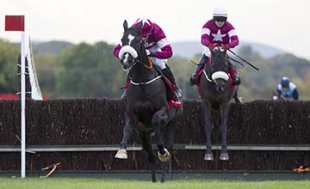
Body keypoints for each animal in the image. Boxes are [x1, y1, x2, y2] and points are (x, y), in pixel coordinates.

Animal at [114, 19, 182, 182]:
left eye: (139, 41)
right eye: (122, 40)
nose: (126, 60)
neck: (142, 81)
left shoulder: (162, 111)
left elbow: (156, 121)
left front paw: (162, 151)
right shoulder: (132, 115)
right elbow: (126, 129)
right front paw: (121, 151)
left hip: (171, 124)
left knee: (167, 151)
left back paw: (163, 177)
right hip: (143, 132)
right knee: (150, 155)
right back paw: (154, 180)